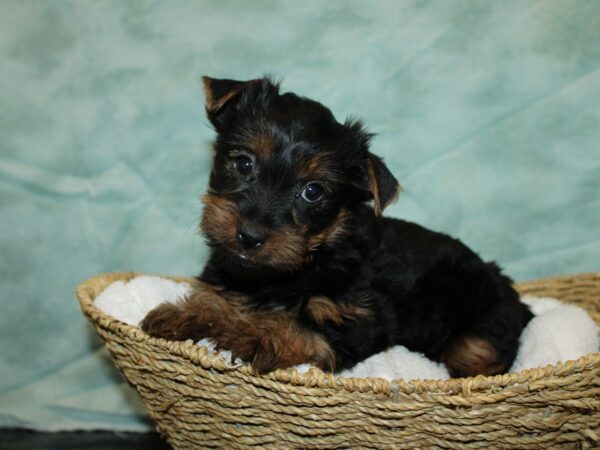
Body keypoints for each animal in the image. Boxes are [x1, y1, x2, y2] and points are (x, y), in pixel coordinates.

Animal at [142, 76, 536, 376]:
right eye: (243, 164)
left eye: (313, 192)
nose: (250, 235)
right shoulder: (229, 279)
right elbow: (216, 297)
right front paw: (189, 314)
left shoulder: (356, 322)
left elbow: (296, 327)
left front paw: (251, 333)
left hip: (479, 326)